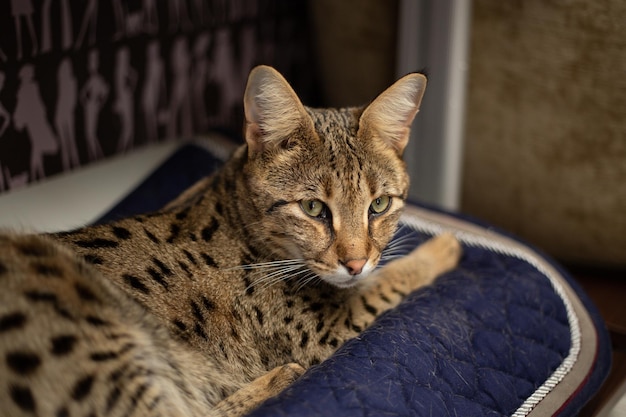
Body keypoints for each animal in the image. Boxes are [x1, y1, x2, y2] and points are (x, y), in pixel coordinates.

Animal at [0, 66, 458, 416]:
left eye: (379, 204)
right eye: (313, 208)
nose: (356, 262)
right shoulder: (327, 330)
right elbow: (391, 281)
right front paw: (444, 246)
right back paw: (279, 379)